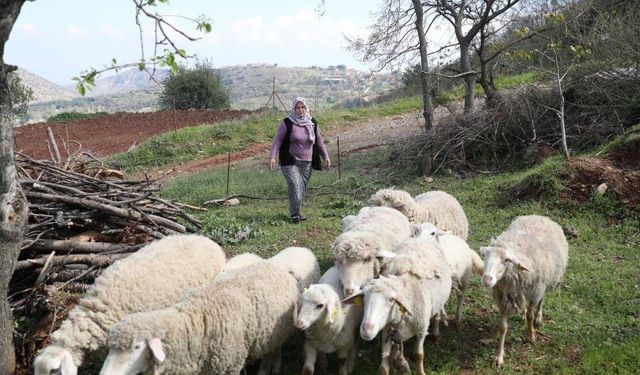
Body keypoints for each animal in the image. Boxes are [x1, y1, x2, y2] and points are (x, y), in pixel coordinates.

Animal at [98, 248, 320, 374]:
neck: (193, 325)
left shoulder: (227, 365)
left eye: (136, 347)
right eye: (110, 349)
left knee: (270, 356)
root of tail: (278, 266)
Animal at [342, 238, 452, 375]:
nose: (367, 329)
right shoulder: (387, 331)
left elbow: (419, 355)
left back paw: (436, 333)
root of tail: (421, 238)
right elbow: (383, 365)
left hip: (437, 303)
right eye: (364, 298)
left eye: (391, 300)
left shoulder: (421, 329)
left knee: (437, 314)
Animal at [480, 216, 568, 366]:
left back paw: (538, 317)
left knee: (541, 300)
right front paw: (499, 357)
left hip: (544, 281)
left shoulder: (535, 291)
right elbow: (502, 328)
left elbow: (530, 316)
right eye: (484, 256)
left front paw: (531, 334)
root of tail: (540, 216)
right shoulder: (504, 299)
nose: (486, 279)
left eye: (506, 260)